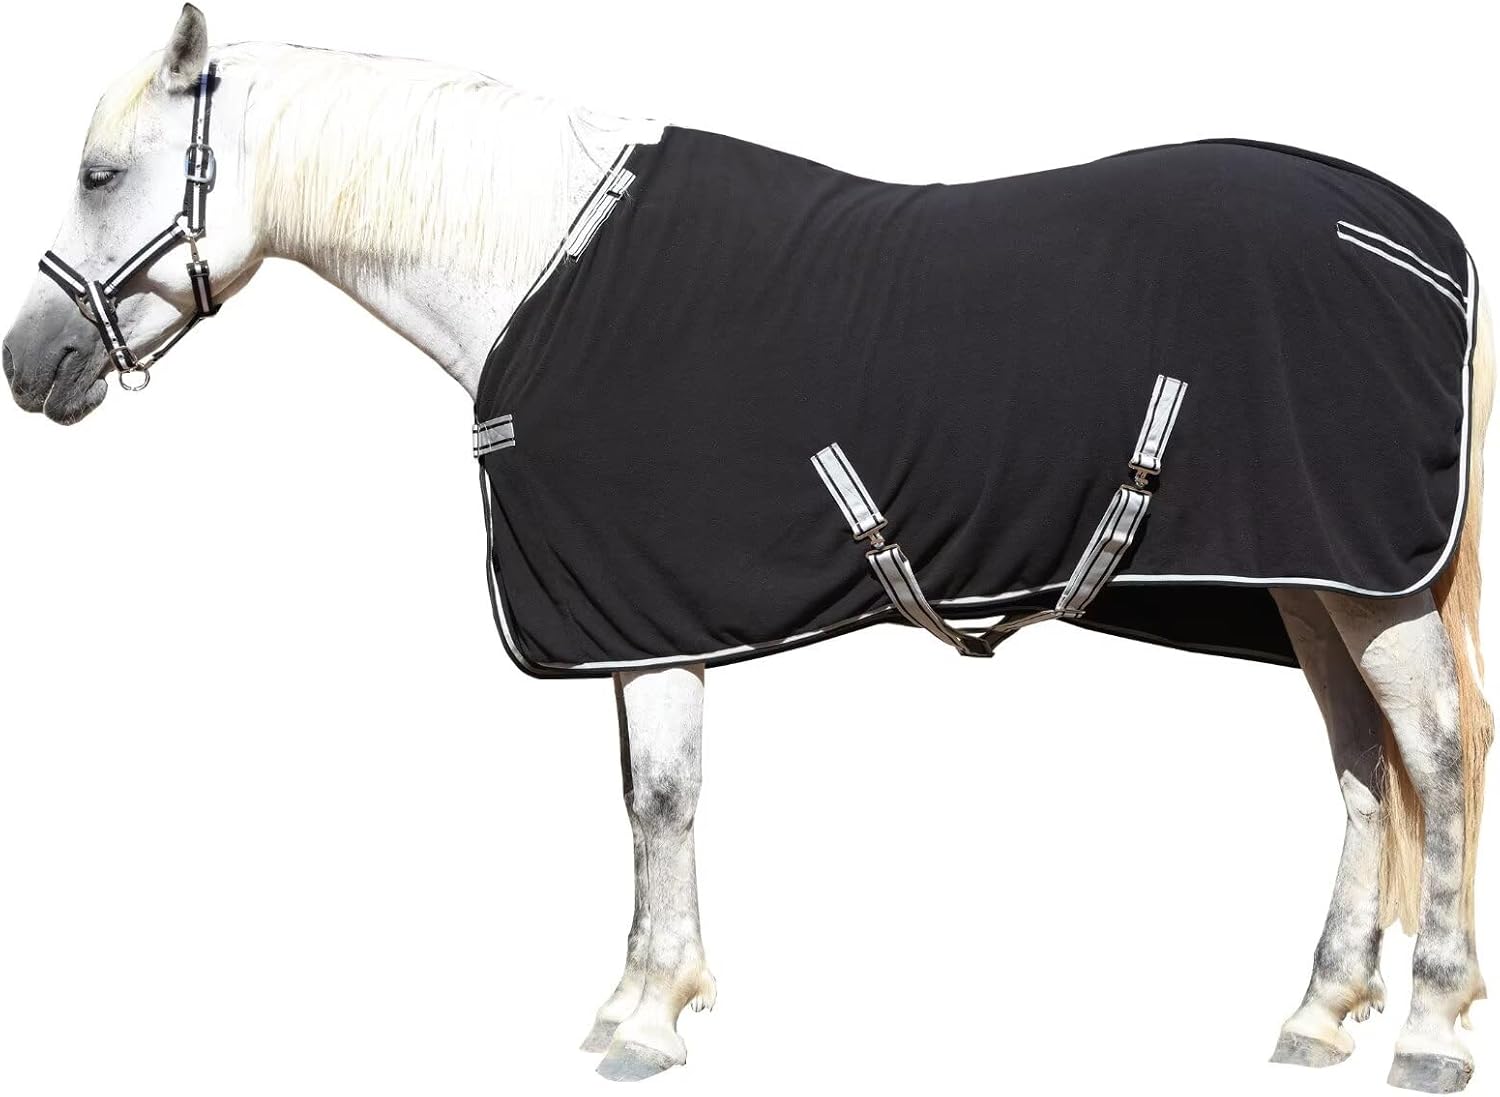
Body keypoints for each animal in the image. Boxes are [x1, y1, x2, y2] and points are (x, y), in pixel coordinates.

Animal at [2, 6, 1491, 1089]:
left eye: (98, 173)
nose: (29, 364)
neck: (536, 262)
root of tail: (1424, 240)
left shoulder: (649, 612)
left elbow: (661, 799)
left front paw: (644, 1018)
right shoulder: (634, 613)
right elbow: (642, 798)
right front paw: (648, 988)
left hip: (1364, 586)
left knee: (1436, 749)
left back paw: (1430, 1028)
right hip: (1310, 582)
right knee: (1362, 764)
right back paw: (1321, 1010)